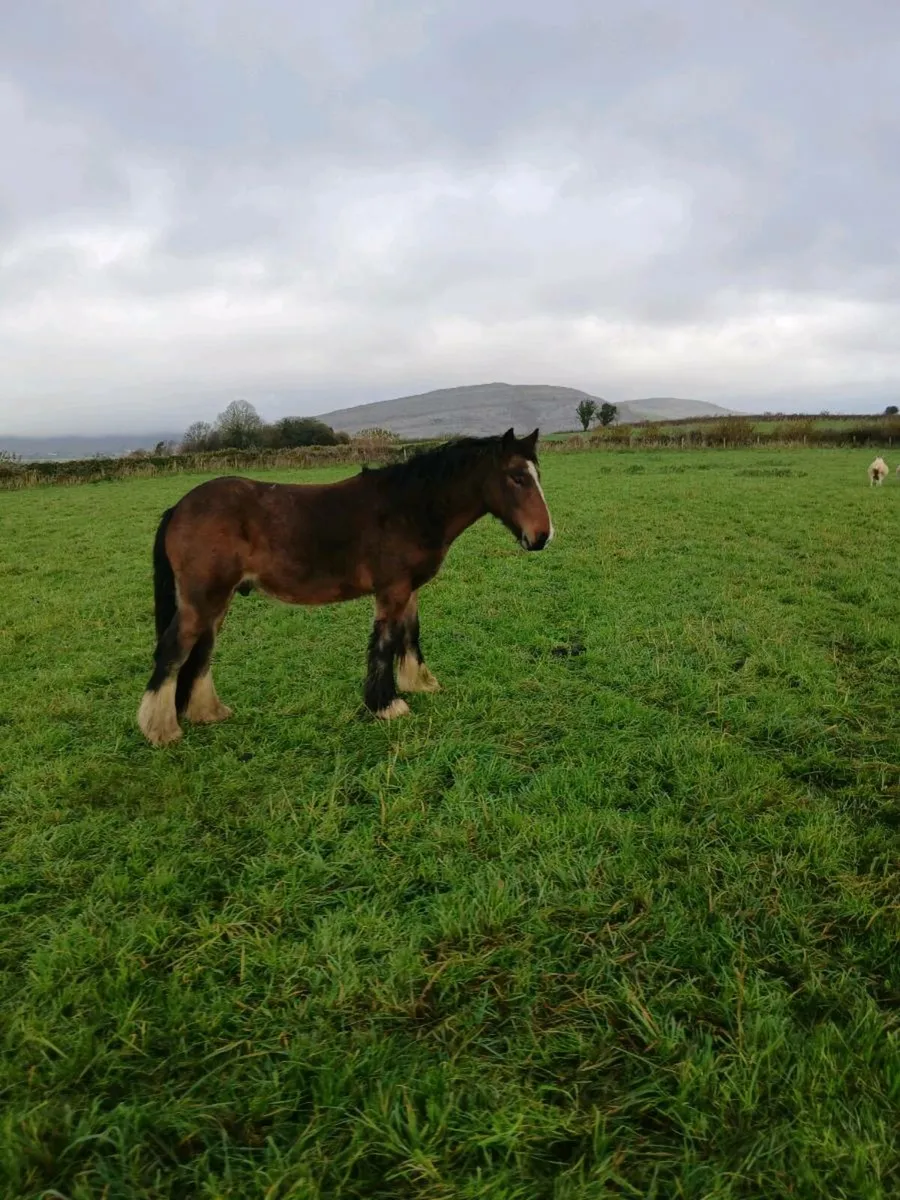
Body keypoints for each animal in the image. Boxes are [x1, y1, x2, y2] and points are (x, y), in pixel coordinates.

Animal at [137, 428, 554, 746]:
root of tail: (180, 507)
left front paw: (419, 683)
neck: (409, 508)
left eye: (538, 475)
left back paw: (207, 713)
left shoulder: (410, 590)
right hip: (201, 601)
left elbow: (410, 635)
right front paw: (387, 705)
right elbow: (384, 643)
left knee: (202, 652)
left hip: (216, 602)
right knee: (174, 651)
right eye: (517, 477)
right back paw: (162, 730)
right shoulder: (392, 591)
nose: (542, 536)